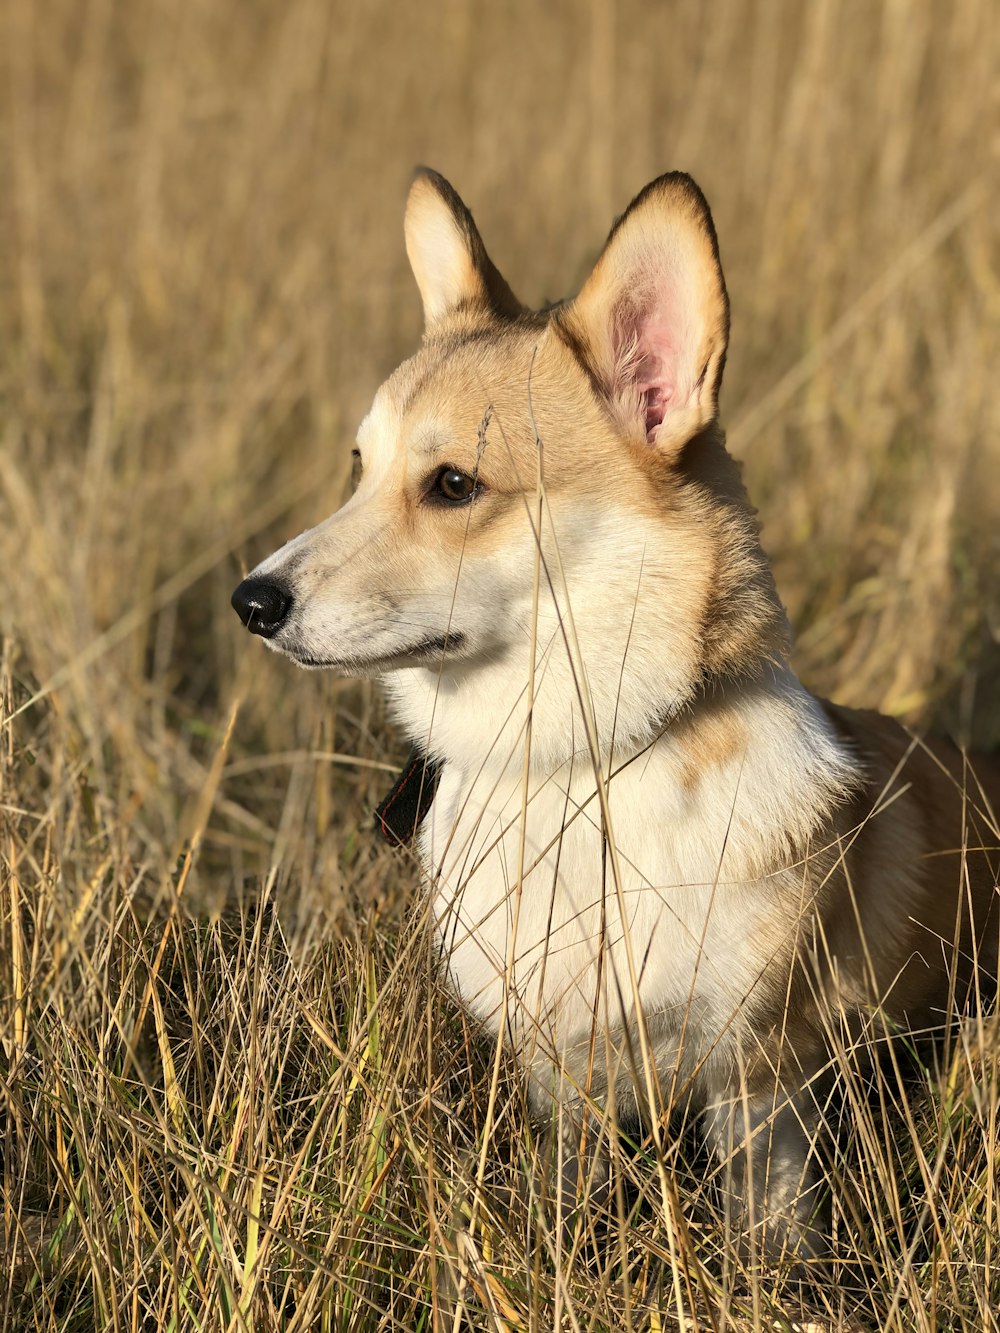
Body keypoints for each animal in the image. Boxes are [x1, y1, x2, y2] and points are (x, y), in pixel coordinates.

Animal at [234, 166, 1000, 1258]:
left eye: (453, 484)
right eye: (357, 466)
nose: (249, 602)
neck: (572, 774)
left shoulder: (760, 1083)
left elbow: (769, 1233)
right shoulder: (563, 1078)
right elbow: (565, 1198)